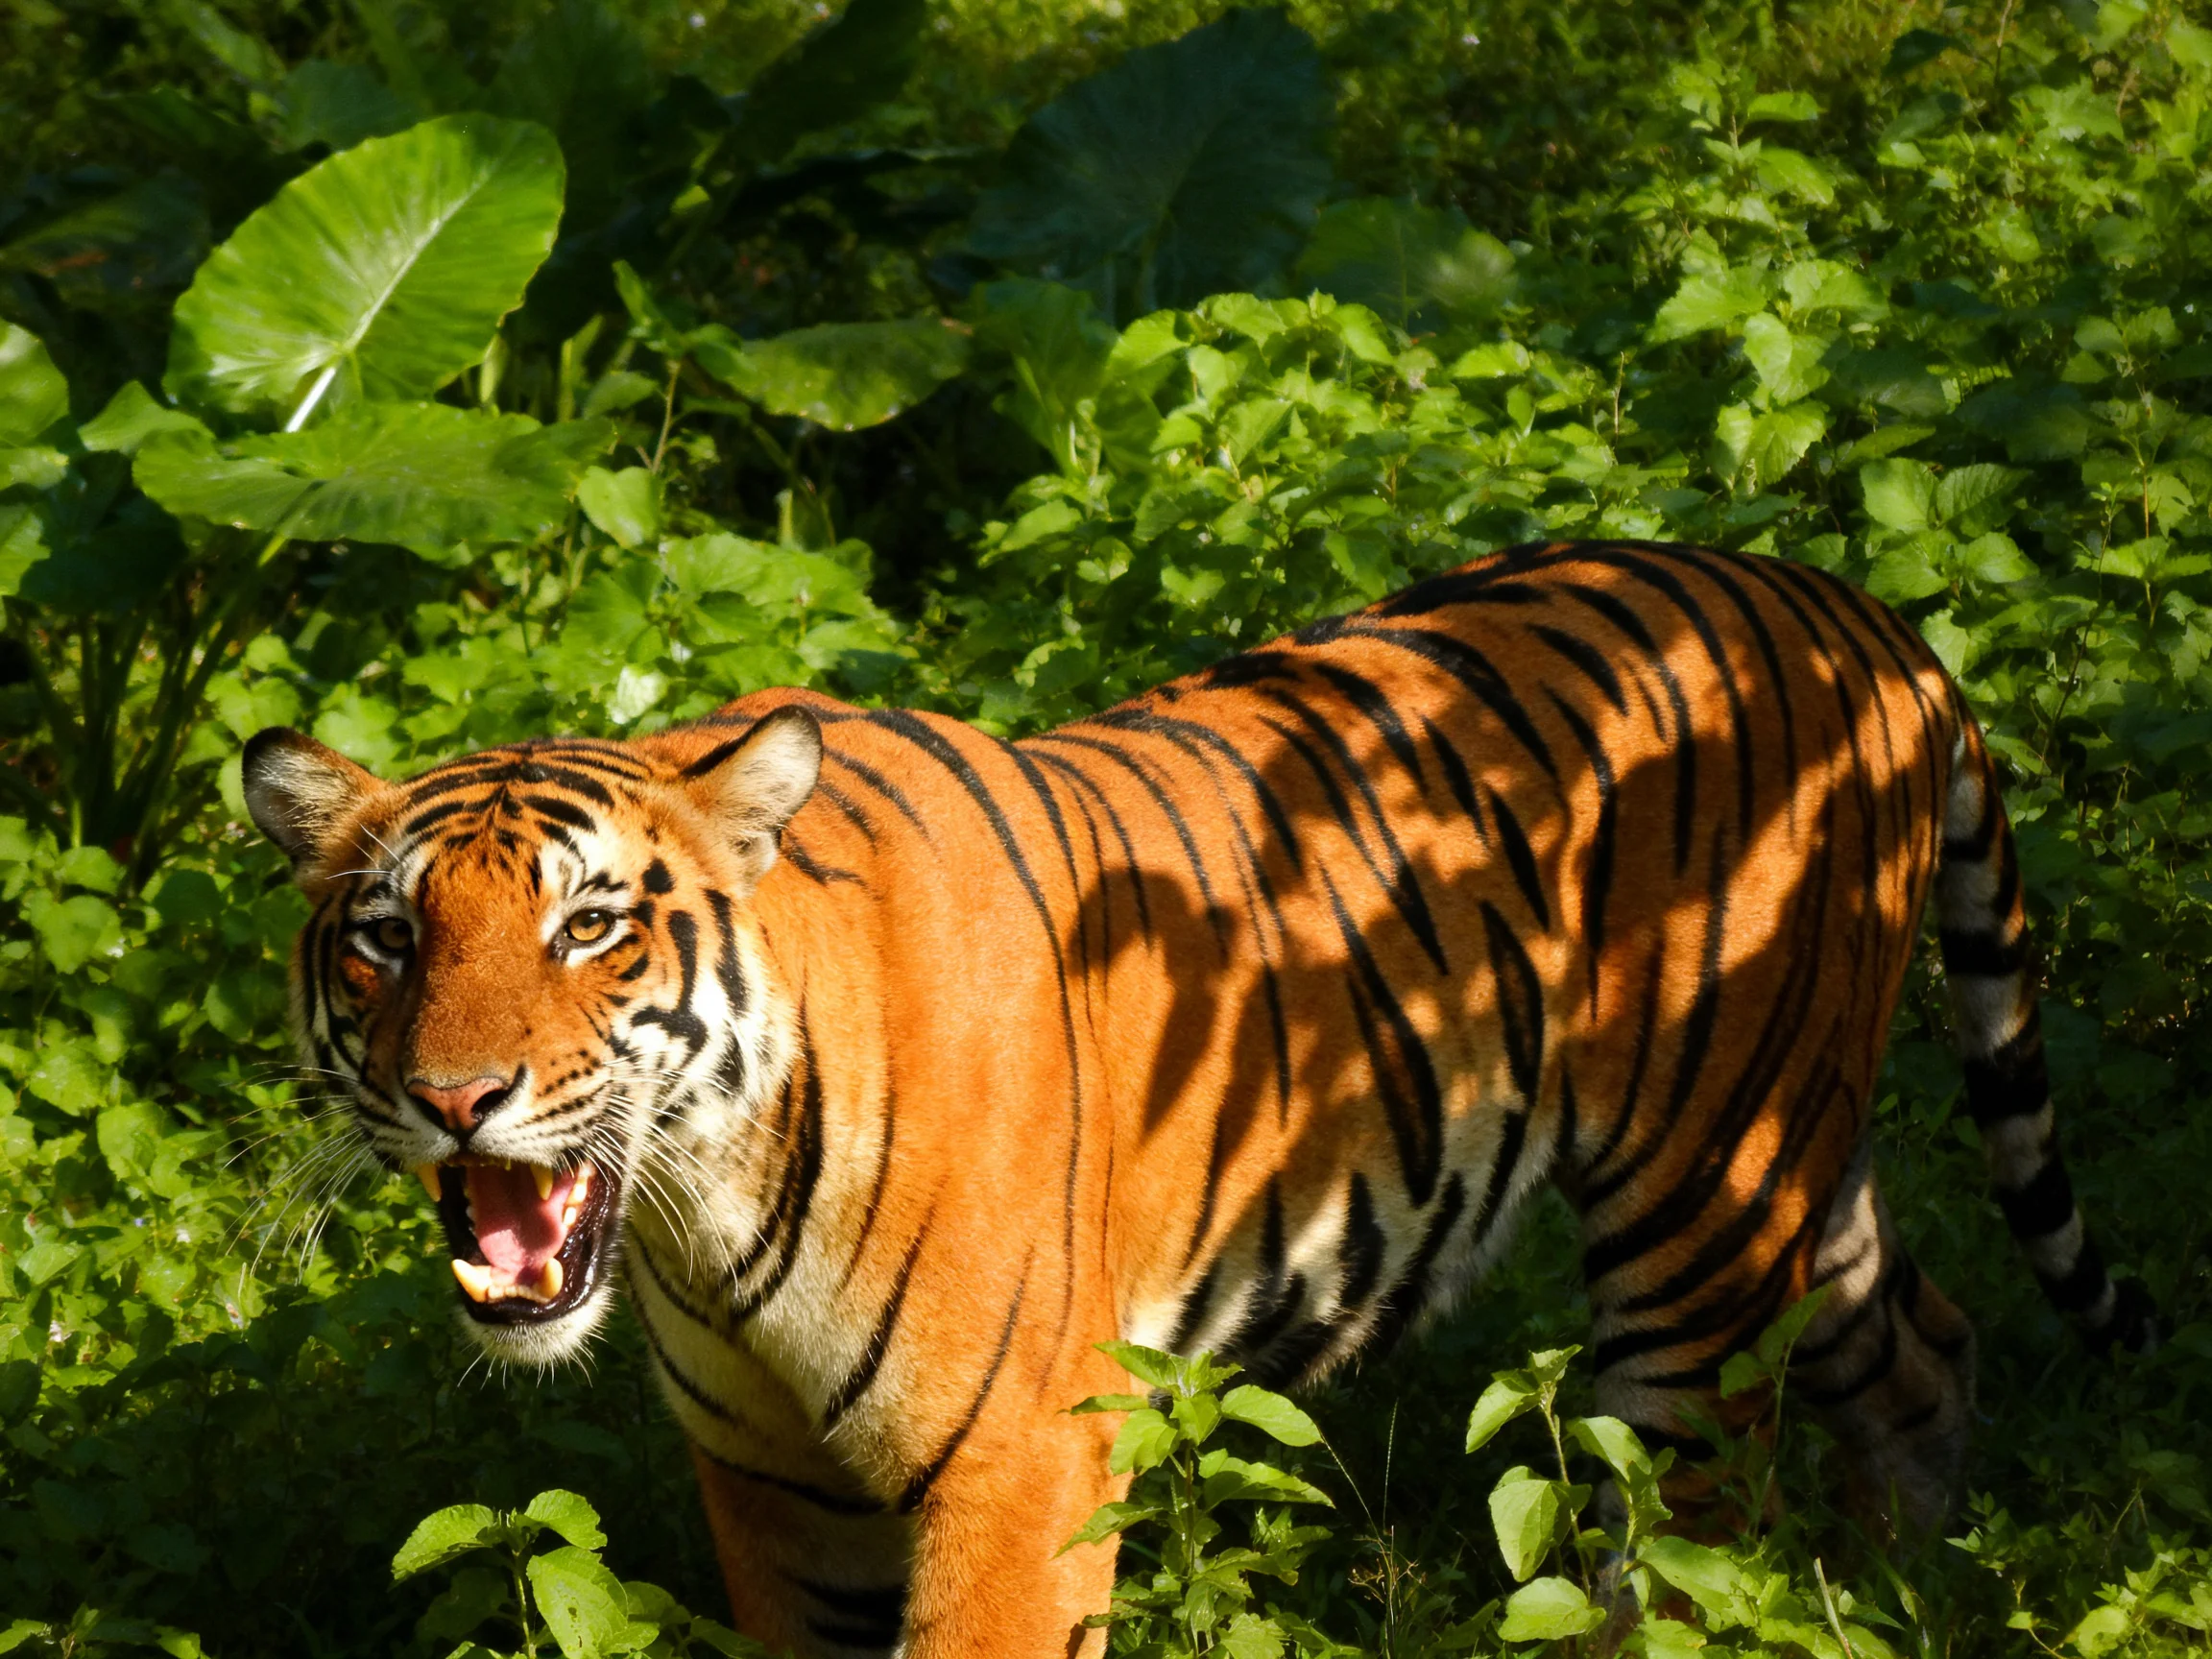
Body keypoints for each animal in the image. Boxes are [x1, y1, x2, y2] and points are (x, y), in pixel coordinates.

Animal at [241, 539, 2149, 1658]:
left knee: (1684, 1539)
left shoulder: (1015, 1460)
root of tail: (1860, 616)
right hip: (1784, 1158)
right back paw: (1901, 1584)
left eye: (588, 925)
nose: (458, 1096)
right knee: (1922, 1336)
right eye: (390, 937)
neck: (702, 1217)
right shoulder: (774, 1483)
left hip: (1701, 1214)